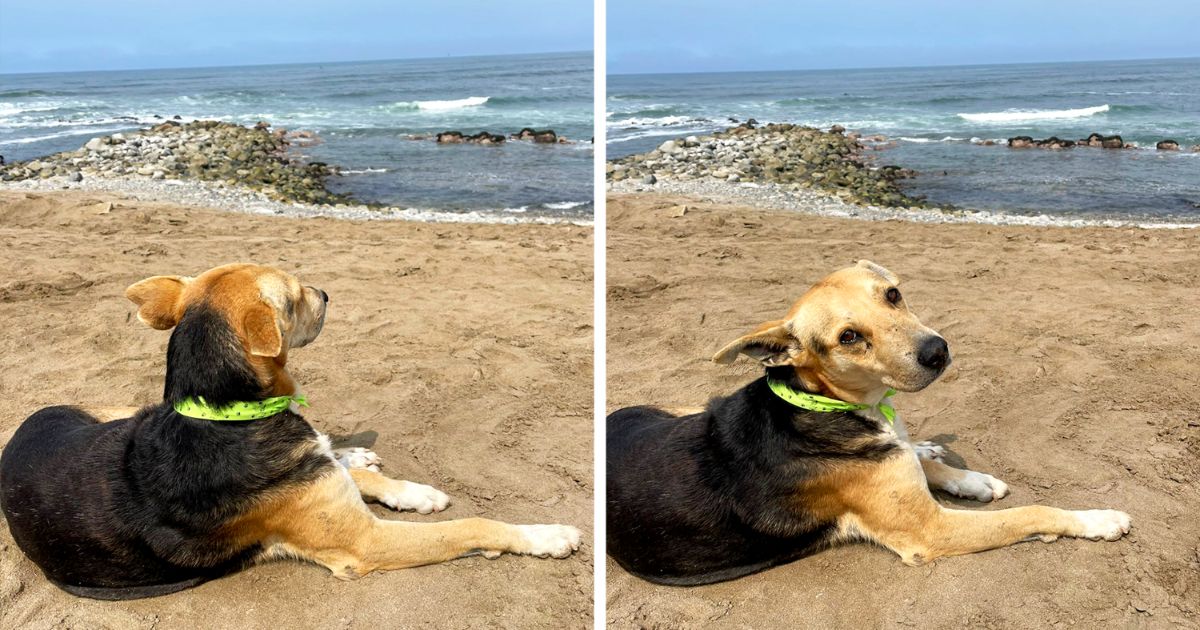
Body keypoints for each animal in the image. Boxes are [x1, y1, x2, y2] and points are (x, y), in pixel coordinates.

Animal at [0, 262, 580, 597]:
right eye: (296, 296)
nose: (327, 292)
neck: (227, 412)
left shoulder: (315, 475)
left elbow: (362, 478)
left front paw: (414, 491)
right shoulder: (366, 543)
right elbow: (472, 526)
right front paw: (548, 535)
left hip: (120, 413)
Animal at [609, 259, 1132, 585]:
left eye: (893, 294)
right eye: (848, 337)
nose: (937, 351)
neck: (822, 403)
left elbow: (924, 464)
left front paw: (970, 478)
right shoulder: (931, 532)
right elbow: (1032, 513)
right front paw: (1099, 519)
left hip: (684, 406)